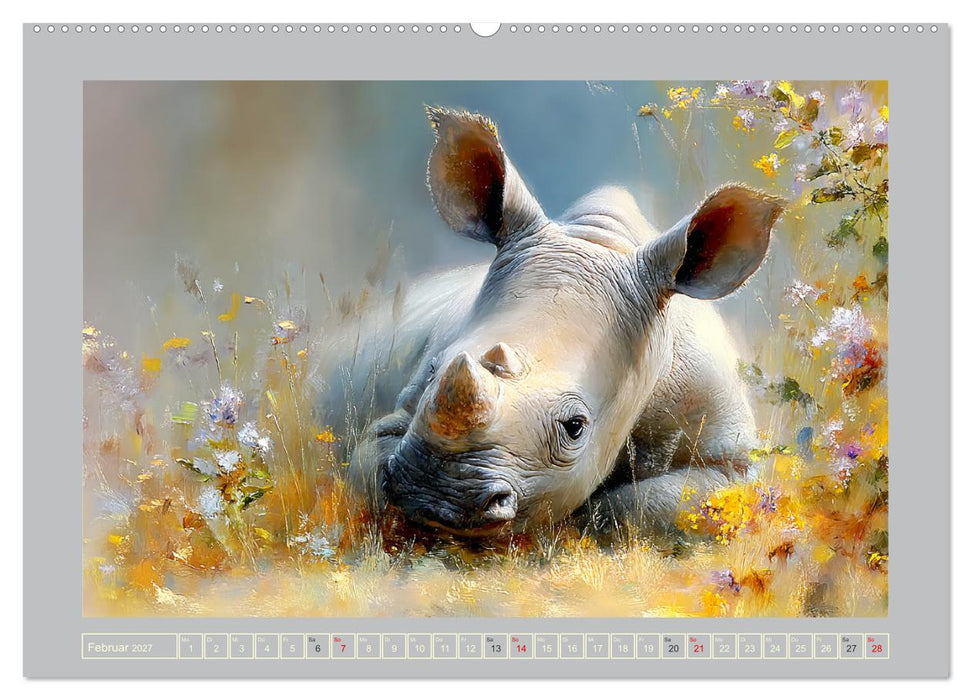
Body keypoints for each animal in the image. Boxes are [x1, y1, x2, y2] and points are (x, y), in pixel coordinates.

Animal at [323, 107, 784, 538]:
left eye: (575, 427)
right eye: (434, 369)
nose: (435, 497)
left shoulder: (733, 459)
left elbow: (646, 505)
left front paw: (583, 517)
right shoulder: (394, 421)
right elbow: (371, 460)